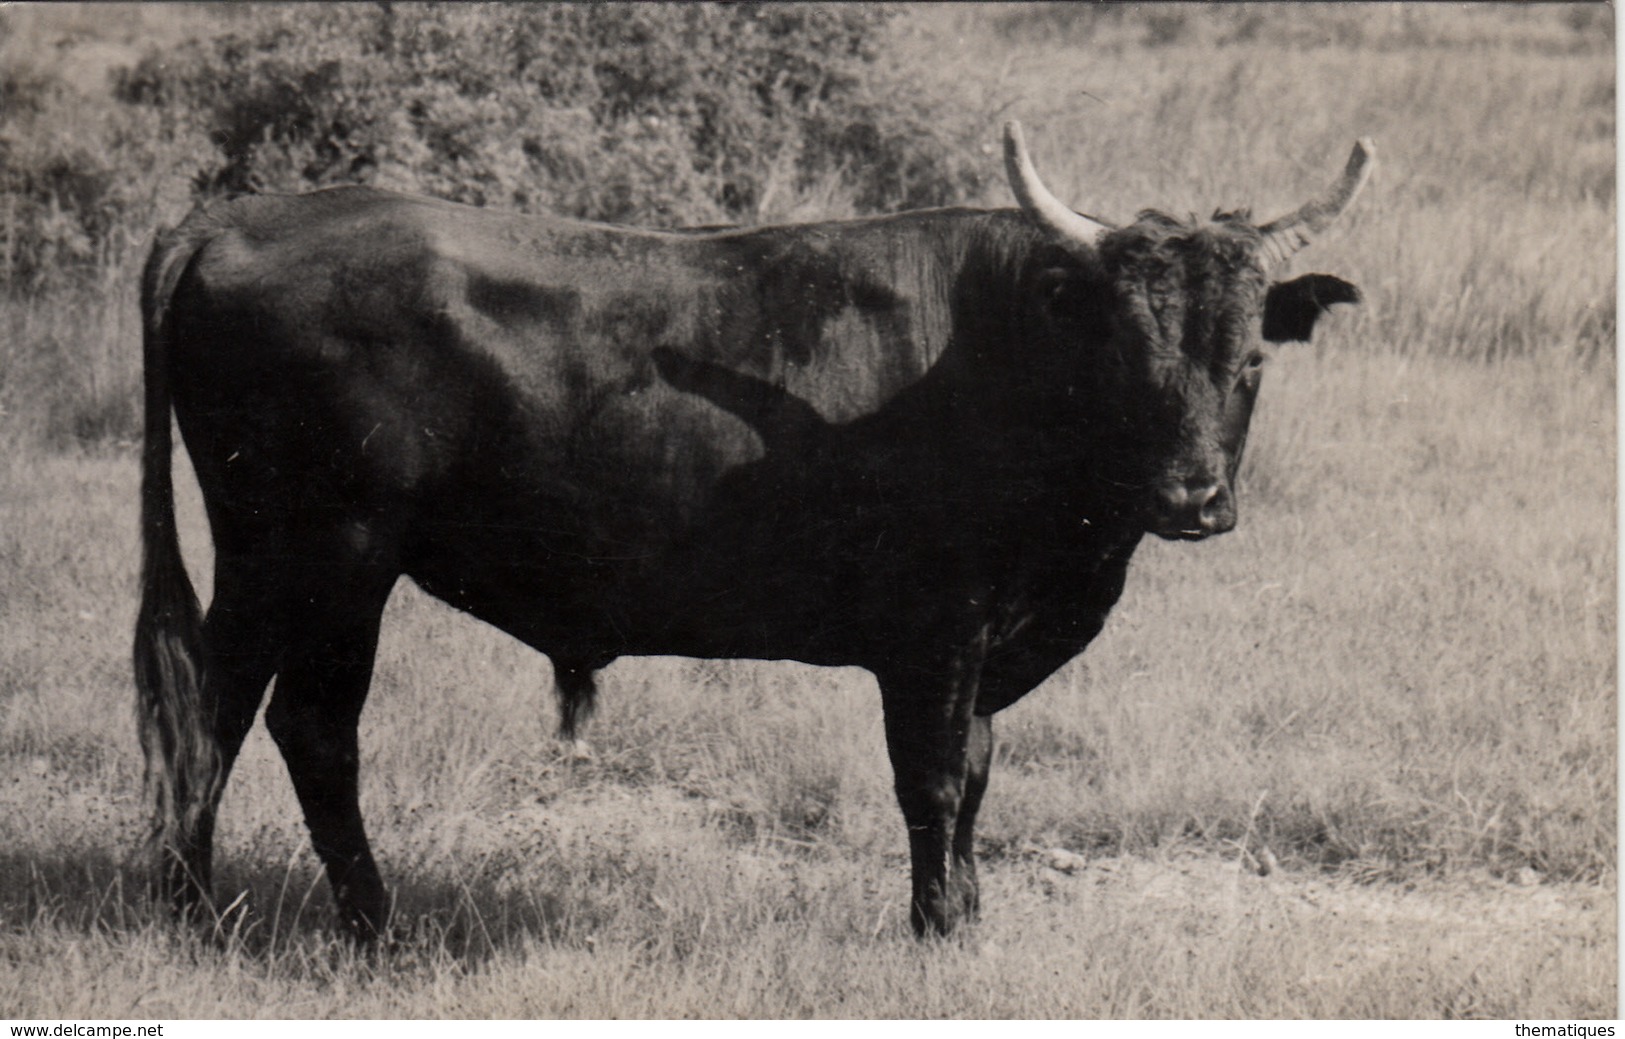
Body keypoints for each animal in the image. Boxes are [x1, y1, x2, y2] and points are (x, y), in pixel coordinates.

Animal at [133, 120, 1371, 936]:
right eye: (1125, 354)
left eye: (1249, 360)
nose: (1190, 498)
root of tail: (236, 216)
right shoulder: (934, 638)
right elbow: (931, 779)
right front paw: (933, 927)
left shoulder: (980, 652)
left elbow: (976, 773)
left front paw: (969, 911)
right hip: (323, 558)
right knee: (291, 723)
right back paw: (344, 921)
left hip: (282, 562)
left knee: (225, 707)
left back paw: (202, 903)